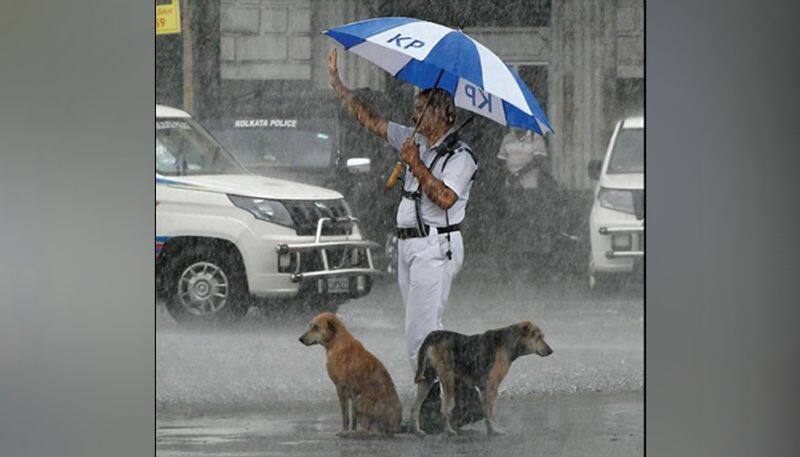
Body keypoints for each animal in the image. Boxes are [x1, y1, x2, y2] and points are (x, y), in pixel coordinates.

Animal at [410, 318, 552, 436]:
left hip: (427, 379)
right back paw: (449, 431)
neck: (510, 341)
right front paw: (495, 431)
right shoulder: (493, 385)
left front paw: (490, 430)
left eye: (543, 336)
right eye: (538, 337)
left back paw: (418, 431)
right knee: (444, 411)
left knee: (415, 408)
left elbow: (486, 412)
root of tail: (434, 334)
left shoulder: (484, 388)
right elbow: (491, 412)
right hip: (448, 380)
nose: (551, 351)